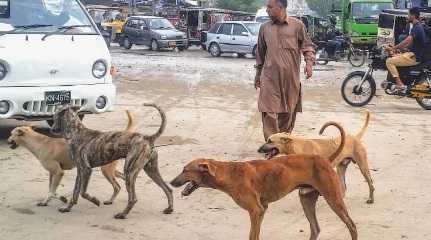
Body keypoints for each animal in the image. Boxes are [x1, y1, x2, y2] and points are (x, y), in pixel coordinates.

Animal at [7, 110, 136, 206]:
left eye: (11, 134)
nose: (8, 141)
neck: (39, 142)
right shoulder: (52, 173)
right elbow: (51, 190)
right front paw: (54, 199)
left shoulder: (58, 172)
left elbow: (52, 191)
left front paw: (55, 199)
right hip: (110, 169)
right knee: (122, 180)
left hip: (106, 170)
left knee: (117, 186)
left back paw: (112, 200)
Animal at [171, 123, 358, 240]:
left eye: (185, 170)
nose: (172, 182)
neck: (229, 173)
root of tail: (325, 159)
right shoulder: (262, 210)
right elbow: (256, 234)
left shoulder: (256, 210)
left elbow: (252, 236)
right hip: (306, 199)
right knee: (315, 229)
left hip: (333, 199)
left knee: (352, 225)